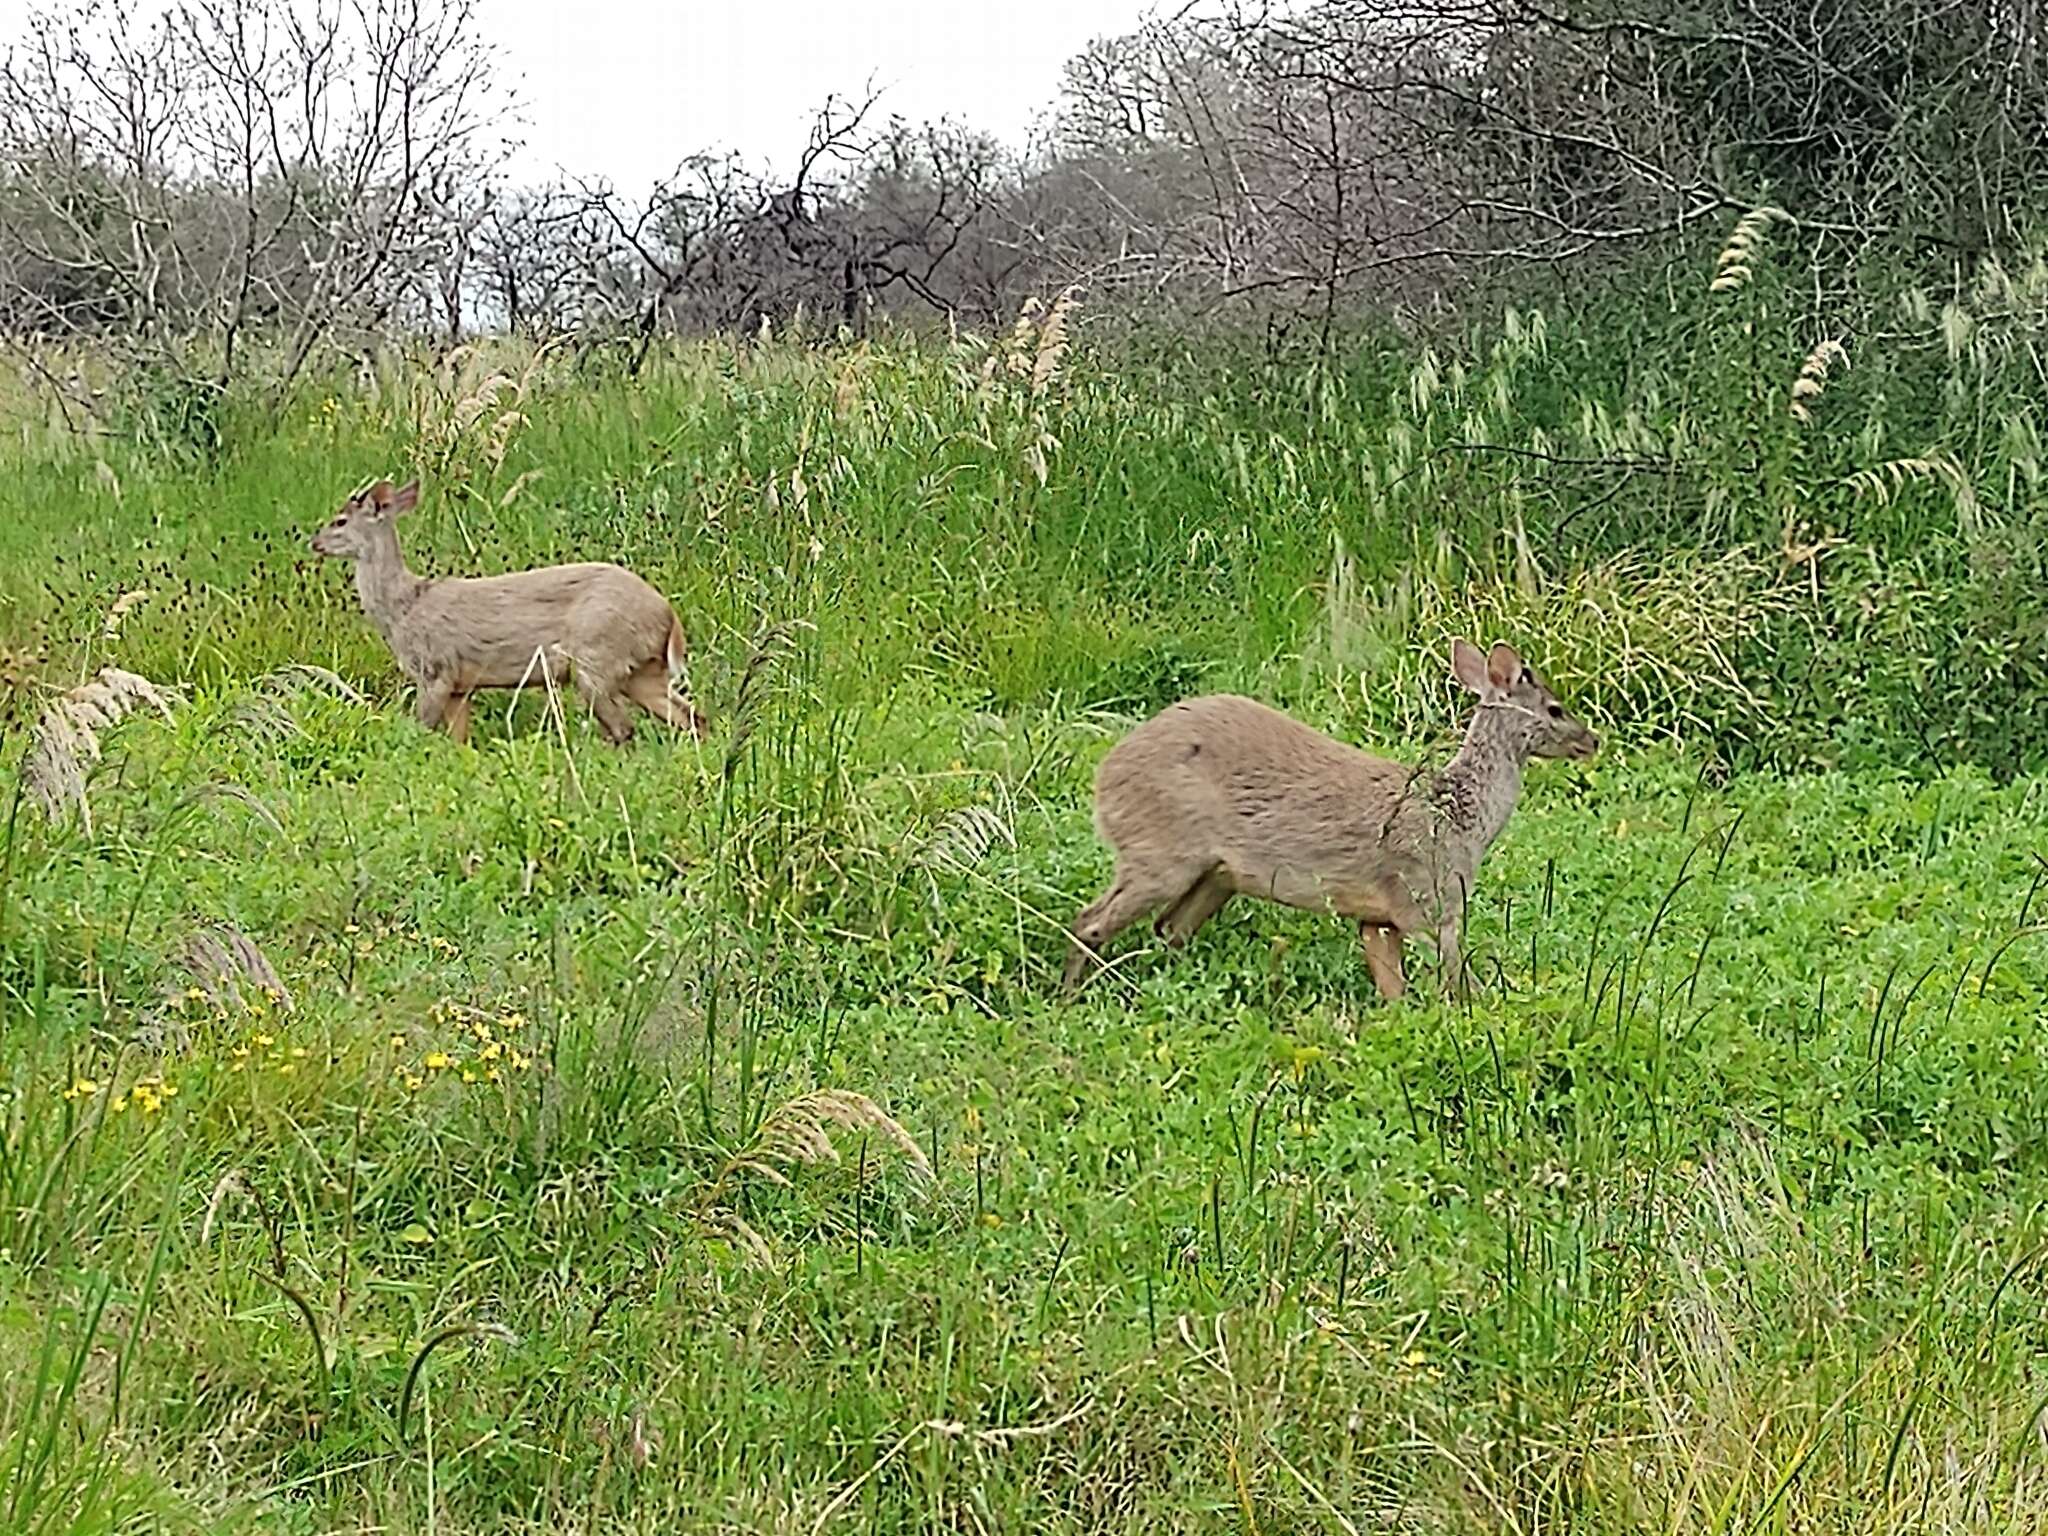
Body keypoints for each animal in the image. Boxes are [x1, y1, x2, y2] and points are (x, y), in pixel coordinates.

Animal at [309, 479, 712, 749]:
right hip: (641, 671)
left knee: (625, 728)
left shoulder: (435, 669)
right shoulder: (461, 685)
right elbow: (459, 742)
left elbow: (422, 729)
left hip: (596, 656)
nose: (314, 542)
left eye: (340, 521)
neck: (402, 609)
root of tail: (668, 614)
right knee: (691, 716)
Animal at [1064, 638, 1605, 999]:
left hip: (1218, 875)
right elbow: (1462, 984)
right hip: (1159, 853)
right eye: (1555, 709)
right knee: (1089, 922)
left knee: (1168, 929)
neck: (1460, 815)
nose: (1592, 739)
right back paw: (1070, 997)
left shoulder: (1378, 919)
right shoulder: (1428, 902)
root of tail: (1104, 778)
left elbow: (1395, 994)